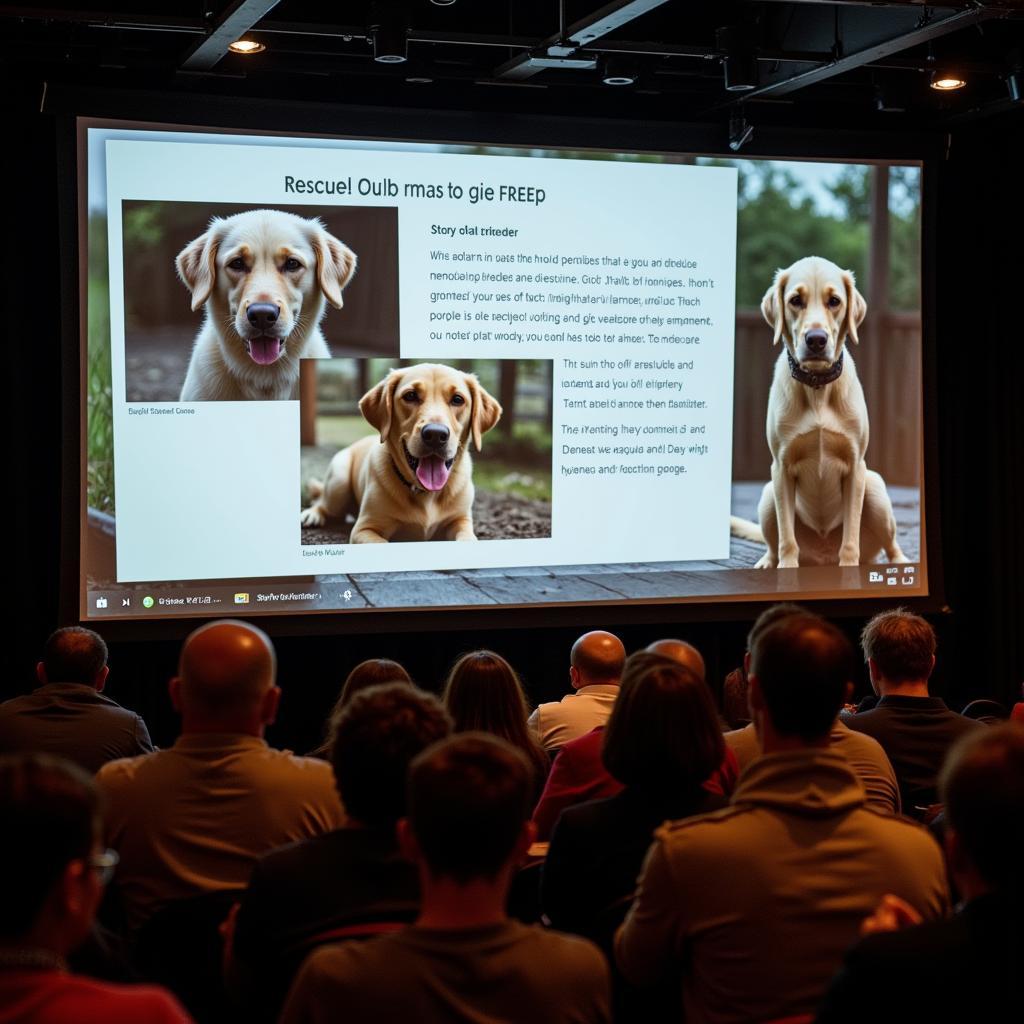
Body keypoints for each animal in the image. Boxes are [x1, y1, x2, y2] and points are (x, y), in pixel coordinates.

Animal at [299, 366, 501, 544]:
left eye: (458, 399)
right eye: (410, 395)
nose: (435, 434)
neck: (426, 493)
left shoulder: (461, 521)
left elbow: (467, 538)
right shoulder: (364, 529)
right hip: (338, 481)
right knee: (322, 502)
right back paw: (313, 515)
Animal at [733, 256, 909, 569]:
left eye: (834, 301)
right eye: (795, 300)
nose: (816, 339)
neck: (816, 387)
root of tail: (822, 556)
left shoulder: (855, 467)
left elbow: (849, 538)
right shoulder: (781, 467)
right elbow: (787, 538)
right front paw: (787, 569)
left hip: (874, 487)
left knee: (890, 544)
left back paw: (900, 561)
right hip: (768, 495)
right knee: (774, 543)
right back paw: (768, 562)